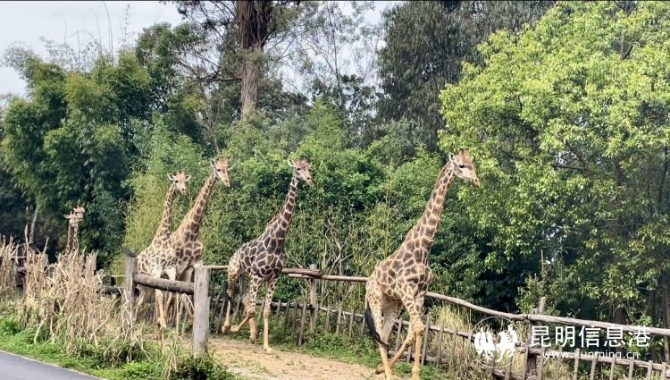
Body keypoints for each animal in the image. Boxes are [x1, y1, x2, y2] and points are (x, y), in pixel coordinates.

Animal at [135, 171, 190, 332]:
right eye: (176, 181)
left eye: (185, 181)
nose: (184, 190)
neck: (164, 238)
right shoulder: (156, 269)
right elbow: (160, 295)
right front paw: (163, 322)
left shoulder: (171, 269)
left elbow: (172, 293)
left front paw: (162, 320)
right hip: (143, 285)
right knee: (139, 302)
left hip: (146, 288)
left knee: (140, 302)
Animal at [167, 157, 232, 318]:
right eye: (218, 169)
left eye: (227, 169)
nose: (227, 182)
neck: (193, 231)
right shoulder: (179, 266)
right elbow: (179, 296)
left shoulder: (195, 265)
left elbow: (191, 296)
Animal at [222, 157, 314, 354]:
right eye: (298, 168)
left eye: (308, 168)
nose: (309, 179)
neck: (277, 242)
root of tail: (234, 254)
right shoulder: (258, 275)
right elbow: (252, 310)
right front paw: (234, 329)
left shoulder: (273, 278)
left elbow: (265, 310)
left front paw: (266, 345)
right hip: (234, 273)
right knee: (231, 294)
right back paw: (226, 326)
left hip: (248, 277)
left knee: (245, 298)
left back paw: (252, 335)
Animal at [364, 149, 480, 380]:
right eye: (461, 165)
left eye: (473, 164)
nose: (476, 181)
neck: (424, 246)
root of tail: (367, 282)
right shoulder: (406, 288)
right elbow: (417, 328)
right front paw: (415, 375)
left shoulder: (420, 292)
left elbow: (414, 331)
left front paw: (401, 371)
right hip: (376, 298)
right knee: (379, 333)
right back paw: (388, 374)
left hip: (393, 304)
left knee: (385, 334)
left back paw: (382, 369)